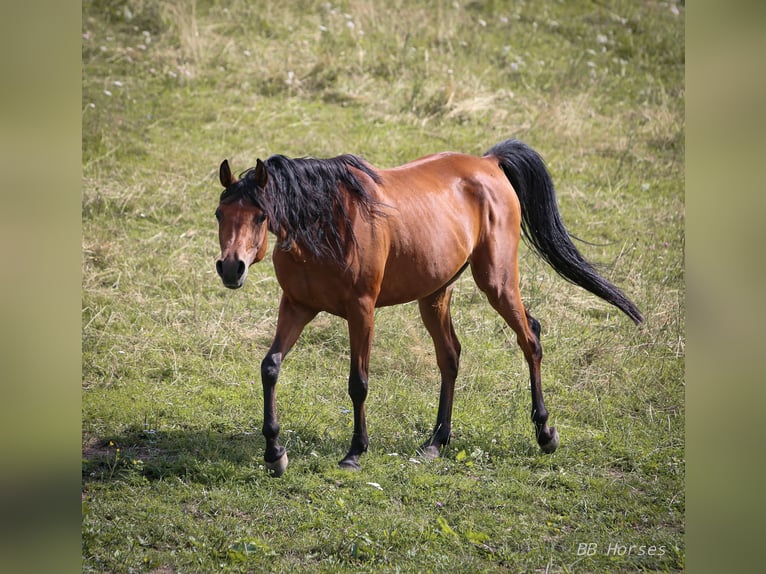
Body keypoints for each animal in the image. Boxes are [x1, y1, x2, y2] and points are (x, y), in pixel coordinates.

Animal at [214, 138, 640, 476]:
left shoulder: (361, 310)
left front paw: (355, 452)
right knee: (450, 357)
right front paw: (274, 453)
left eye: (260, 215)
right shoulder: (297, 305)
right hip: (435, 295)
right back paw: (436, 442)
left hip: (497, 283)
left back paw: (545, 433)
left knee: (530, 339)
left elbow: (358, 383)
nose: (232, 267)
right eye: (220, 214)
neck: (327, 224)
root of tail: (489, 163)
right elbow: (270, 367)